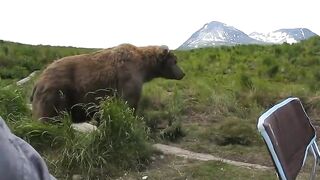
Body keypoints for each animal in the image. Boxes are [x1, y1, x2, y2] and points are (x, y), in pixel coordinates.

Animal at [30, 43, 185, 122]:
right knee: (50, 115)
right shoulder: (128, 76)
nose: (182, 73)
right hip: (56, 91)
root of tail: (38, 81)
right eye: (175, 61)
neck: (145, 67)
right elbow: (129, 101)